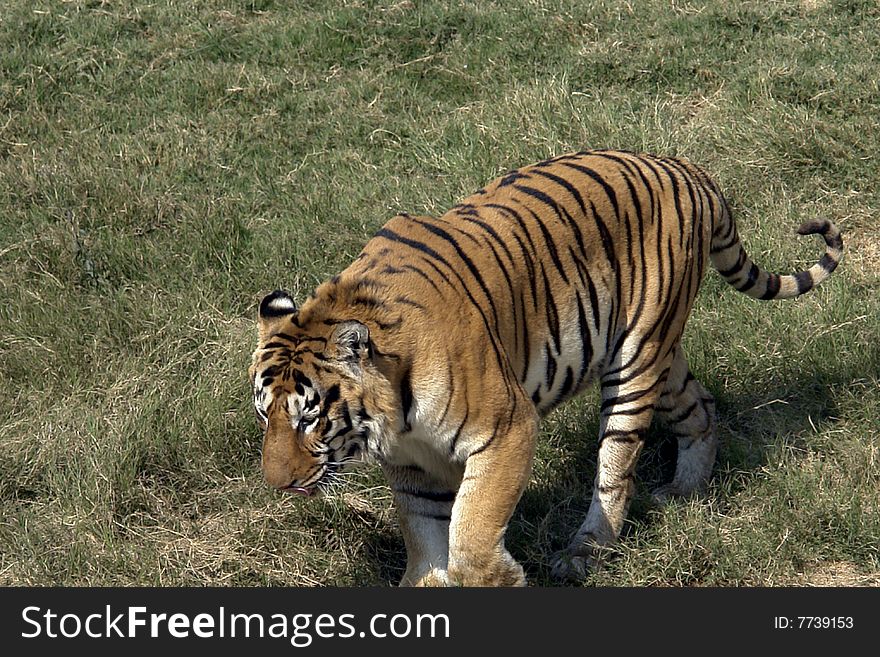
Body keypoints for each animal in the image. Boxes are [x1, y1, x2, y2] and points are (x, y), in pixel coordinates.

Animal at [251, 149, 844, 584]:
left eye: (309, 418)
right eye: (265, 416)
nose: (277, 484)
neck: (393, 414)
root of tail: (687, 169)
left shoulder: (506, 430)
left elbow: (471, 534)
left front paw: (501, 578)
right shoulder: (414, 468)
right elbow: (426, 548)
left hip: (634, 362)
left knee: (615, 469)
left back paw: (584, 552)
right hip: (657, 351)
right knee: (699, 405)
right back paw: (685, 492)